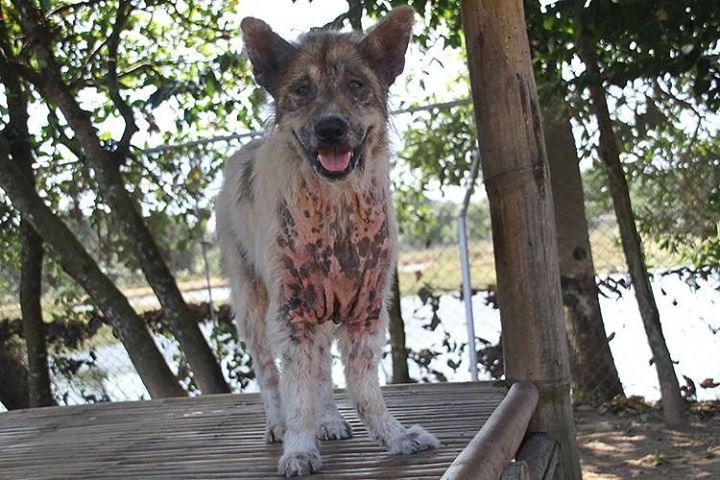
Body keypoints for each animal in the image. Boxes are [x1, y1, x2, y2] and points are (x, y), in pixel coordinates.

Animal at [214, 6, 438, 476]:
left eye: (356, 85)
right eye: (301, 90)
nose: (330, 128)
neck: (336, 213)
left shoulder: (365, 312)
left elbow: (362, 387)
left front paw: (393, 435)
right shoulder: (291, 315)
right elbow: (295, 391)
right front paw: (298, 448)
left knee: (320, 370)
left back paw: (330, 421)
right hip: (253, 306)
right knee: (270, 374)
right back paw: (278, 425)